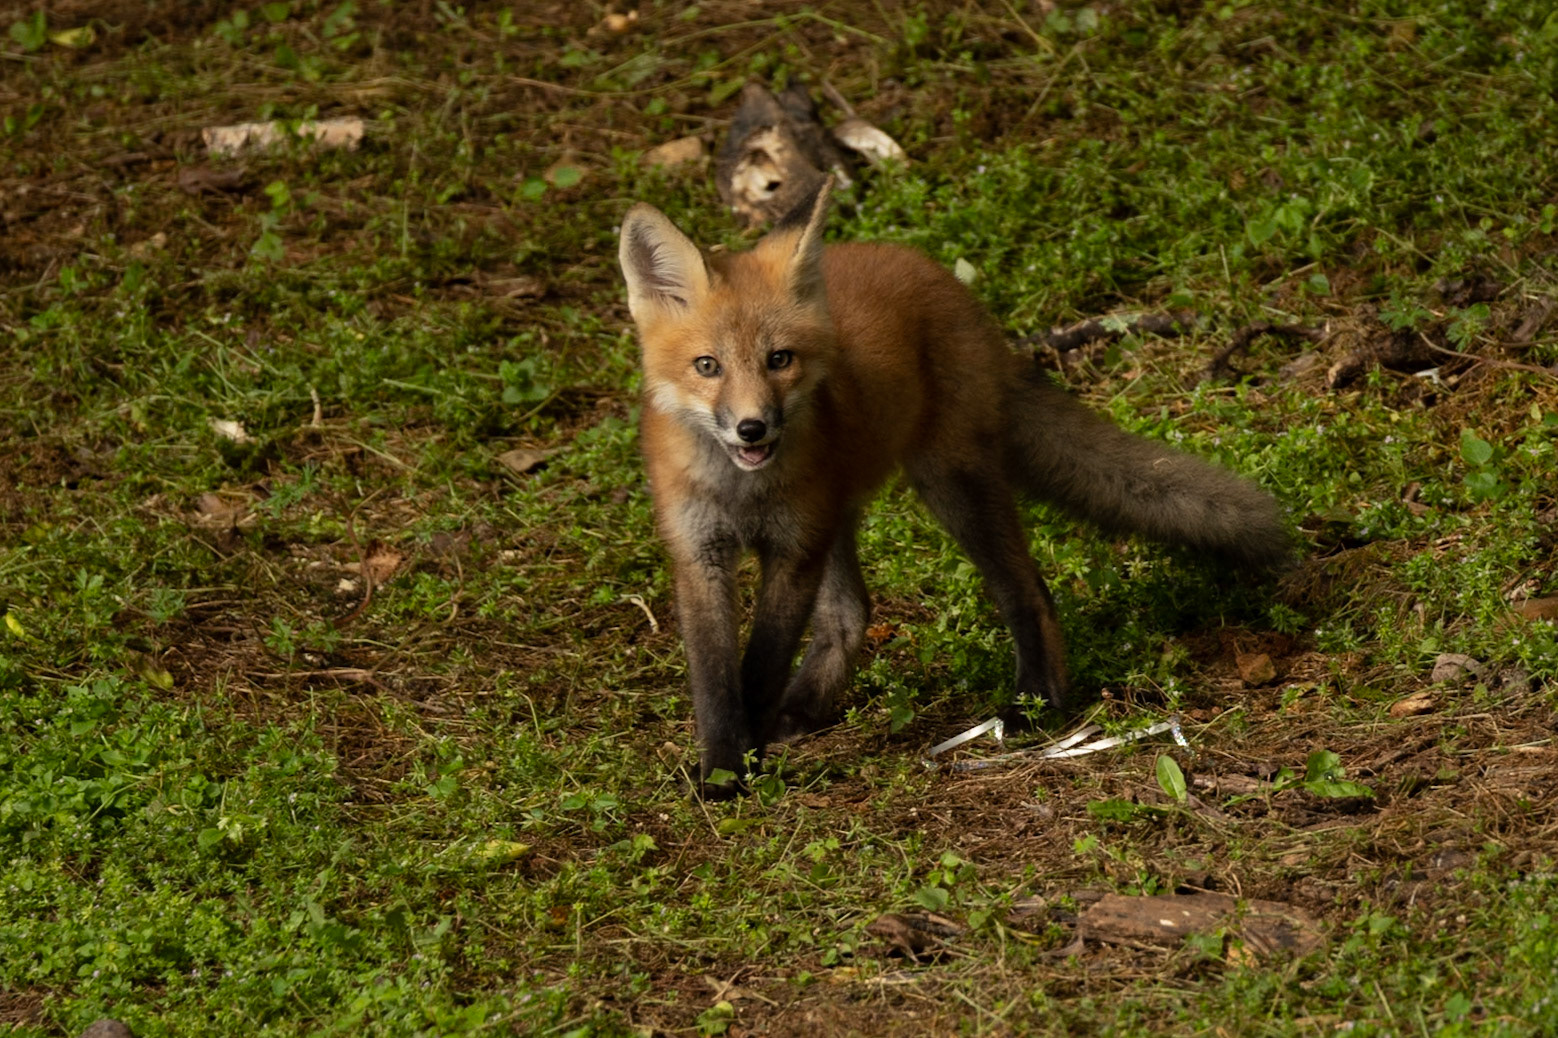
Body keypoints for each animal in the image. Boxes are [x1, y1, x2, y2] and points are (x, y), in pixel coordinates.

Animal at [618, 180, 1291, 794]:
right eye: (708, 366)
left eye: (779, 359)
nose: (753, 427)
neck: (741, 491)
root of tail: (939, 275)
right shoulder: (701, 552)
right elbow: (713, 678)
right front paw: (722, 767)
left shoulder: (793, 548)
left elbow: (758, 668)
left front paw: (744, 763)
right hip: (843, 513)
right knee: (851, 614)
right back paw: (803, 711)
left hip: (949, 485)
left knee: (1028, 590)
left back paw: (1035, 705)